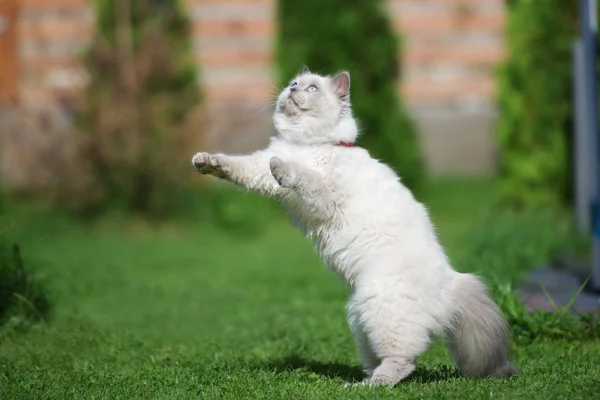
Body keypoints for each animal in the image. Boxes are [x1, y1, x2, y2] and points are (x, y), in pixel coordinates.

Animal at [192, 67, 516, 386]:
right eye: (294, 84)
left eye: (311, 89)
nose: (293, 90)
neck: (305, 144)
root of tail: (451, 282)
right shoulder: (258, 171)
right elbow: (234, 166)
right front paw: (204, 161)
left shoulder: (324, 195)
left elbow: (301, 175)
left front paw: (281, 167)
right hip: (360, 320)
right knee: (379, 360)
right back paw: (358, 384)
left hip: (380, 311)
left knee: (403, 361)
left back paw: (375, 385)